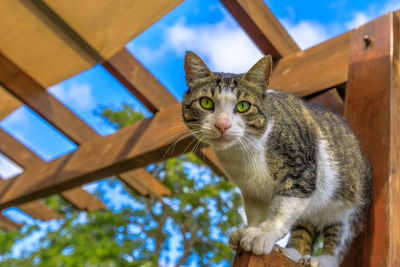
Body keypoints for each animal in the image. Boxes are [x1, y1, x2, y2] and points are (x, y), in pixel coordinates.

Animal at [181, 51, 372, 266]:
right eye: (206, 102)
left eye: (243, 106)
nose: (222, 124)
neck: (243, 155)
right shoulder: (252, 191)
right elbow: (255, 213)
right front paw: (248, 230)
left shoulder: (300, 173)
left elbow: (281, 211)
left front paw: (261, 234)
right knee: (303, 229)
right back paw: (292, 253)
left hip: (350, 204)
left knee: (338, 238)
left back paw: (320, 260)